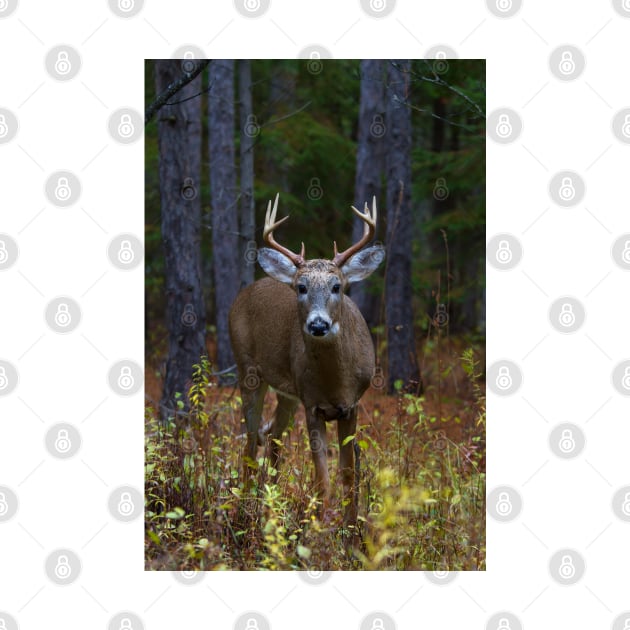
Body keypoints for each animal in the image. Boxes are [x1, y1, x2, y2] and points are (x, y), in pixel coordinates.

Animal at [228, 195, 386, 524]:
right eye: (301, 287)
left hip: (288, 392)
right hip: (248, 370)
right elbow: (322, 477)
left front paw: (351, 527)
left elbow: (348, 473)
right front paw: (321, 526)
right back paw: (246, 510)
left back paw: (272, 504)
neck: (335, 383)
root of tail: (248, 290)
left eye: (337, 286)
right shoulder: (312, 406)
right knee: (250, 442)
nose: (318, 324)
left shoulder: (351, 405)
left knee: (273, 437)